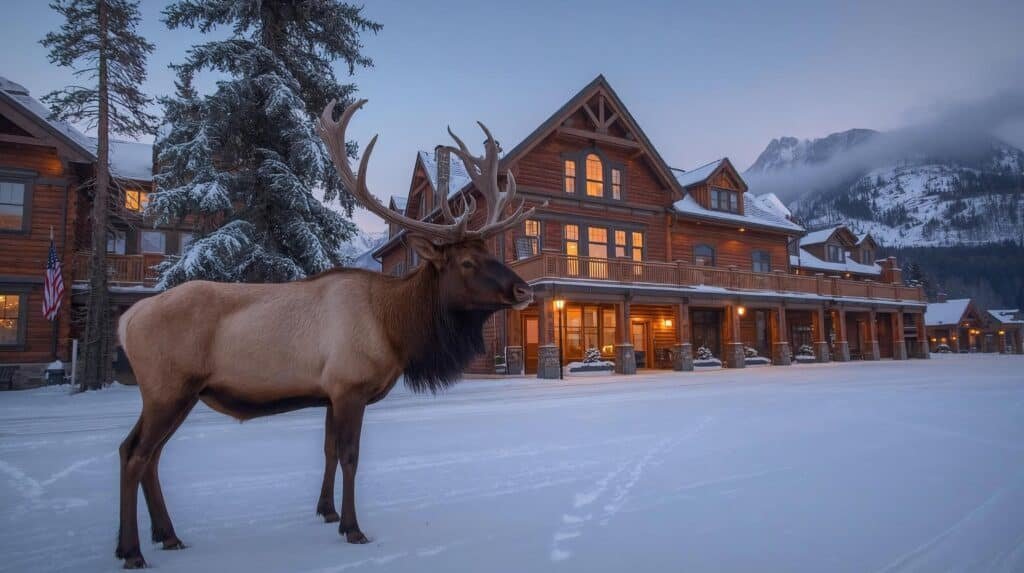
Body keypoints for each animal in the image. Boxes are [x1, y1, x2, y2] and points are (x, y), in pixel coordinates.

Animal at [114, 99, 540, 569]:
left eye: (487, 252)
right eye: (466, 262)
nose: (524, 290)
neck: (394, 328)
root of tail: (126, 320)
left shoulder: (329, 393)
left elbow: (329, 451)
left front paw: (327, 511)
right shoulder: (349, 386)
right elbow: (350, 456)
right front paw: (353, 528)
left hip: (174, 394)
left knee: (142, 453)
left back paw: (165, 535)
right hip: (168, 388)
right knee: (136, 454)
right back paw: (133, 550)